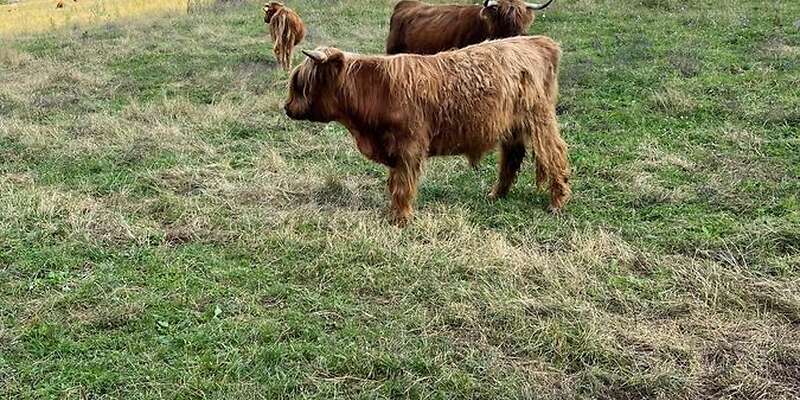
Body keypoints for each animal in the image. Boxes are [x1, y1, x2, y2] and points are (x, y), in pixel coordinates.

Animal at [283, 36, 570, 225]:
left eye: (299, 84)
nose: (286, 107)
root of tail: (537, 41)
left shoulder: (409, 146)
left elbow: (403, 184)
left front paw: (400, 218)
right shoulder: (394, 149)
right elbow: (394, 182)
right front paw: (395, 212)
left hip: (540, 119)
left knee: (554, 154)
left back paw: (557, 202)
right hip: (512, 125)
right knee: (512, 156)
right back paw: (496, 194)